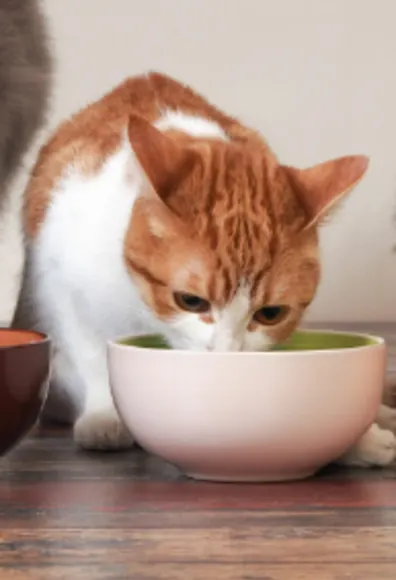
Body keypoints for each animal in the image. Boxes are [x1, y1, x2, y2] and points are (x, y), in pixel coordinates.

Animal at [12, 71, 396, 462]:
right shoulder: (62, 287)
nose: (226, 354)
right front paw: (105, 414)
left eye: (271, 313)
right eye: (191, 301)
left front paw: (361, 438)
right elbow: (92, 356)